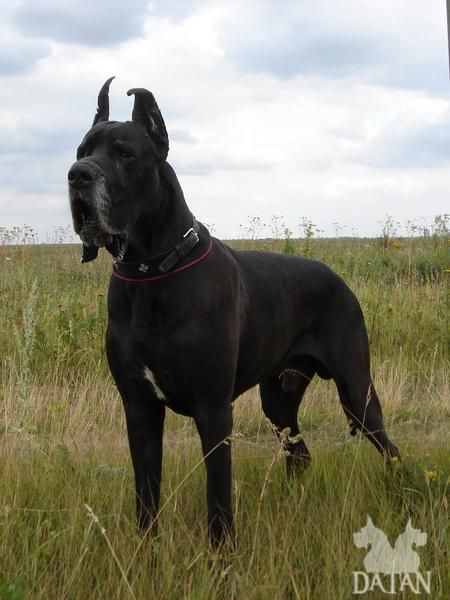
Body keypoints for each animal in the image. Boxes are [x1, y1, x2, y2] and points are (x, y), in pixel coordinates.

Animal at [68, 78, 400, 547]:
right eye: (82, 150)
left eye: (124, 154)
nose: (77, 175)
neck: (150, 274)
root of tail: (337, 277)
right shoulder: (139, 407)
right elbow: (146, 493)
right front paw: (146, 551)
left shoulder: (213, 410)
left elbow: (219, 495)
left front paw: (222, 555)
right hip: (278, 399)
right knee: (299, 453)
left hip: (356, 391)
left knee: (389, 448)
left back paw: (403, 492)